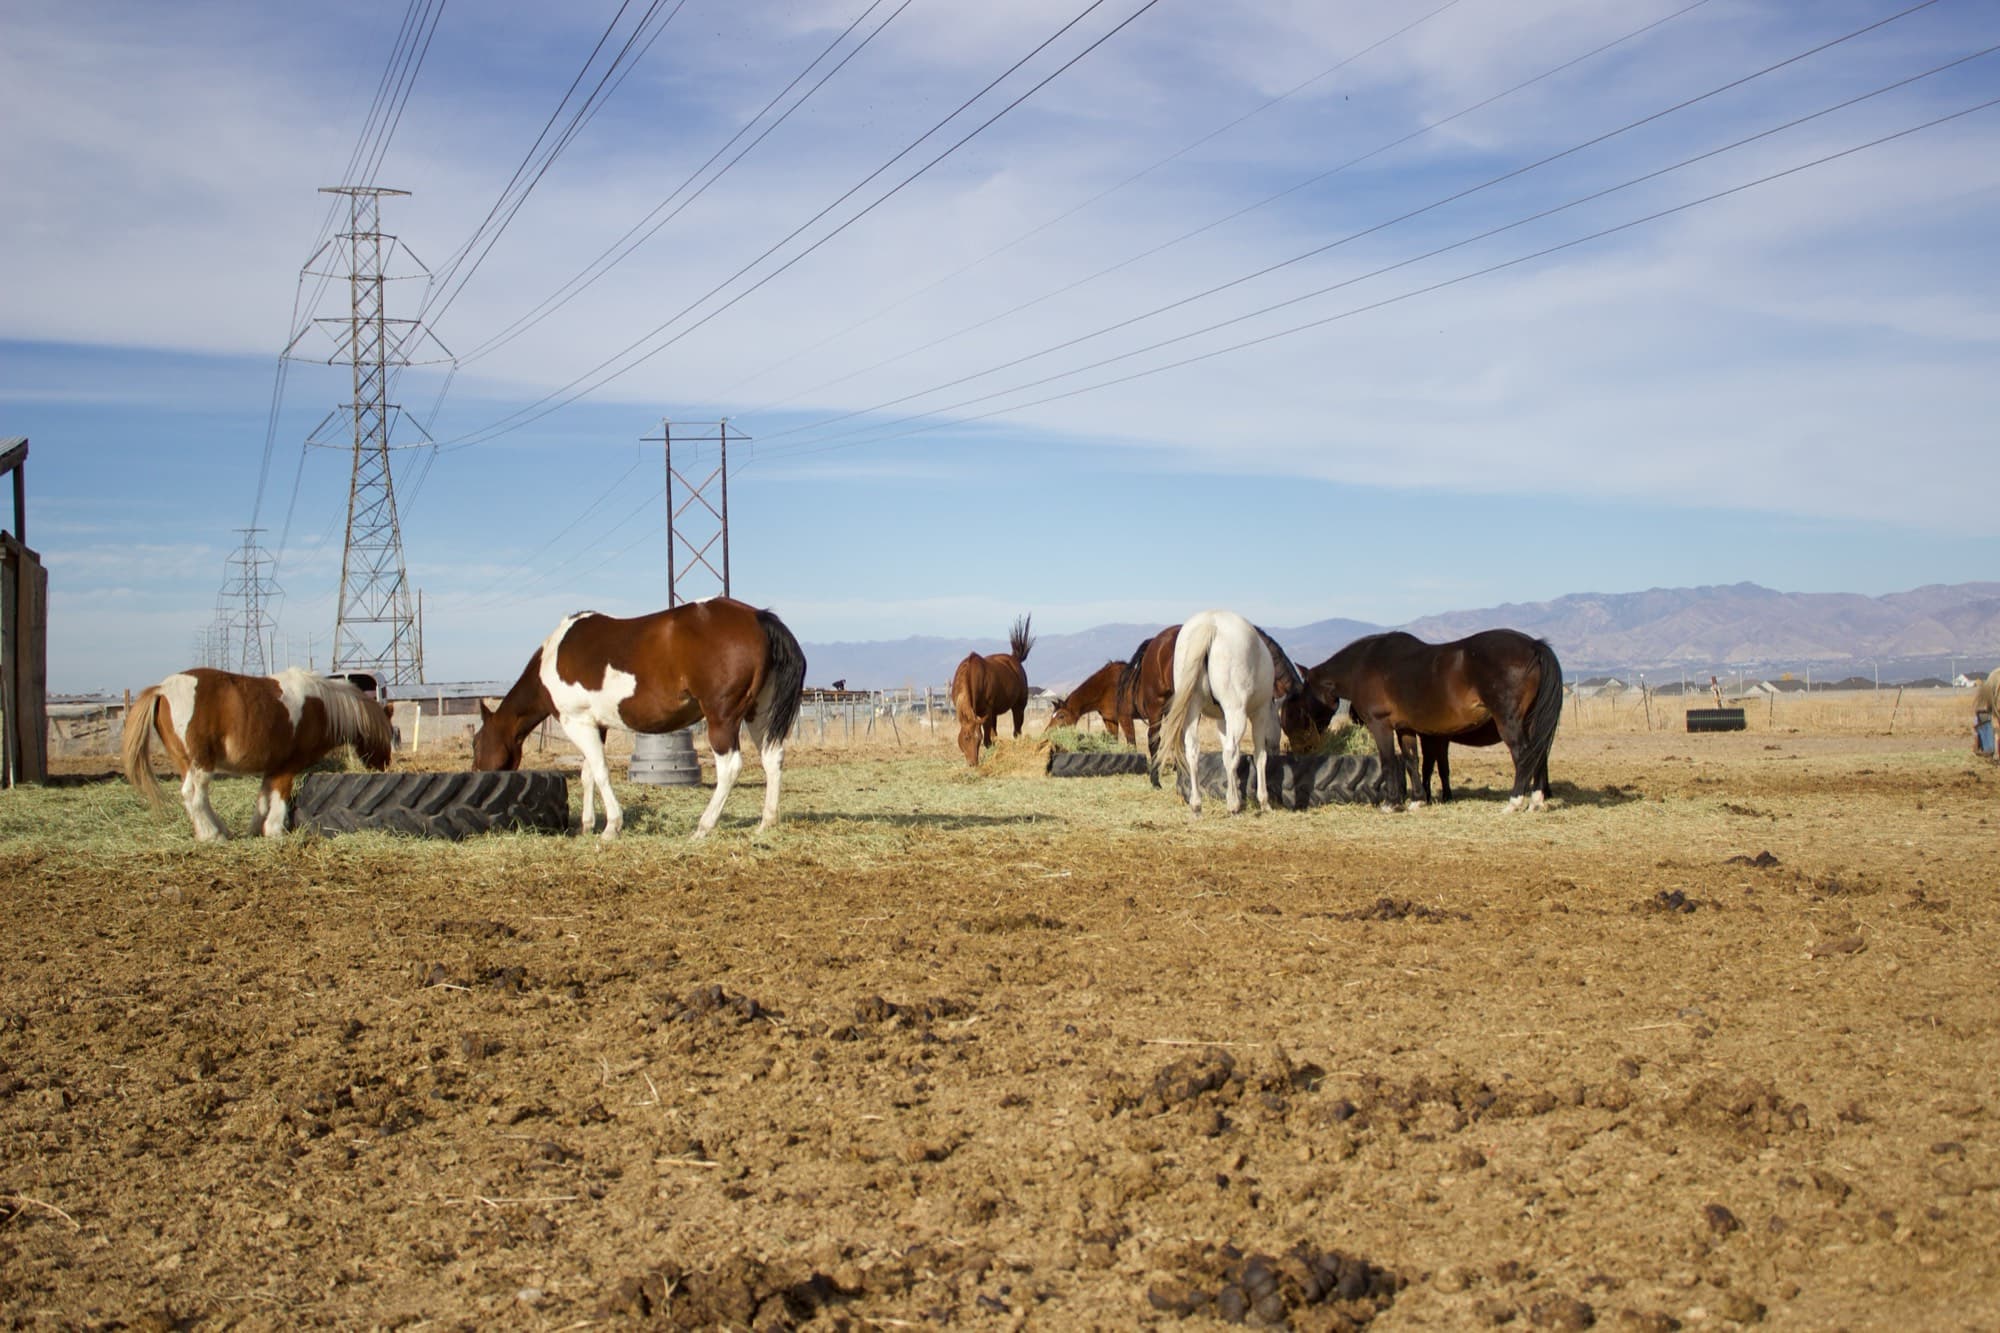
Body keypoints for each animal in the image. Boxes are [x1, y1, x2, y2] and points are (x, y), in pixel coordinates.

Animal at [121, 667, 394, 840]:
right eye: (389, 733)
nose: (384, 767)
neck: (321, 706)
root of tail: (162, 689)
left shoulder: (271, 768)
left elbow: (263, 800)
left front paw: (255, 830)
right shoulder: (287, 768)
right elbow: (280, 797)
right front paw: (275, 831)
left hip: (186, 763)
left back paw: (219, 830)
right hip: (200, 764)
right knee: (194, 796)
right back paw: (212, 835)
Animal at [472, 598, 806, 840]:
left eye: (476, 743)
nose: (477, 774)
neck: (553, 656)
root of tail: (758, 617)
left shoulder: (576, 723)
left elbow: (601, 772)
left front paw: (611, 827)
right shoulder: (596, 726)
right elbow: (588, 773)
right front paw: (588, 825)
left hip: (721, 720)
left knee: (730, 767)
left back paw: (703, 826)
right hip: (757, 714)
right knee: (772, 759)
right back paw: (766, 823)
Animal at [950, 615, 1034, 766]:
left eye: (978, 738)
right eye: (966, 737)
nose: (973, 763)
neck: (970, 673)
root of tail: (1014, 659)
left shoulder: (986, 712)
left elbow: (988, 741)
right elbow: (991, 738)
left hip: (1018, 707)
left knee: (1017, 731)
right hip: (994, 713)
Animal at [1151, 609, 1279, 817]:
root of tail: (1210, 622)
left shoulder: (1222, 720)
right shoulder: (1258, 715)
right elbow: (1260, 756)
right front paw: (1263, 802)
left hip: (1193, 709)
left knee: (1193, 751)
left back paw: (1196, 804)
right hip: (1236, 711)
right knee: (1230, 751)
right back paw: (1233, 806)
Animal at [1301, 629, 1562, 812]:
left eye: (1304, 692)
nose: (1310, 730)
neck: (1363, 665)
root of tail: (1534, 645)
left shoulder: (1381, 726)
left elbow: (1388, 761)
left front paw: (1391, 803)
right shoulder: (1406, 729)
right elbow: (1412, 761)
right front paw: (1417, 800)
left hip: (1509, 722)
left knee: (1523, 755)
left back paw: (1514, 801)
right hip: (1531, 723)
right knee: (1537, 755)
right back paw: (1536, 801)